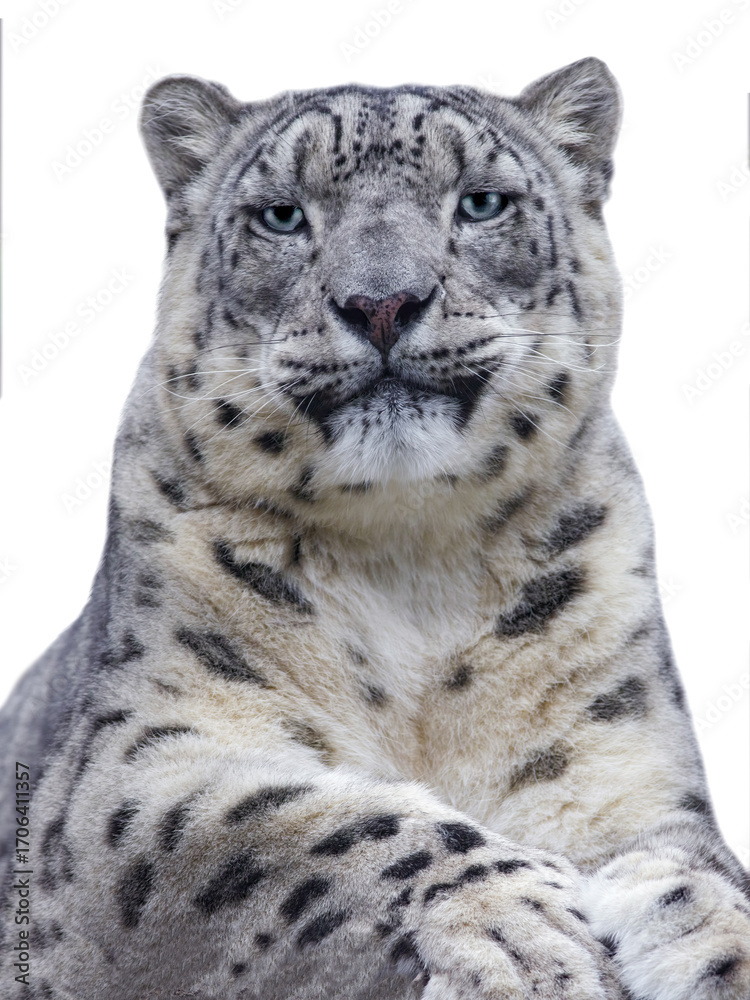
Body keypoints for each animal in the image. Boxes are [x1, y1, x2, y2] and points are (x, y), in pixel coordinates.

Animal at [1, 56, 748, 1000]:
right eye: (283, 214)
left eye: (481, 203)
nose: (383, 302)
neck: (411, 567)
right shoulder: (126, 771)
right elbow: (299, 825)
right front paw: (521, 930)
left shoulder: (624, 769)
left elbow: (702, 874)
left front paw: (710, 944)